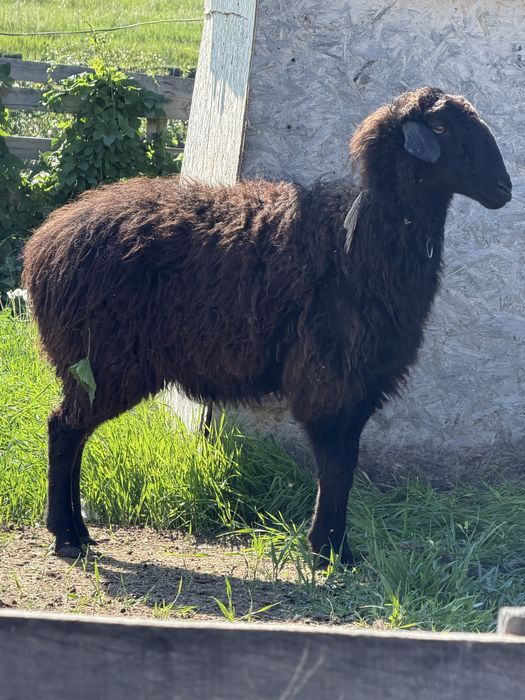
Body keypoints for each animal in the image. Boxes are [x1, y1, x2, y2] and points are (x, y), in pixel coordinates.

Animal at [22, 86, 512, 563]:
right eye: (442, 127)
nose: (504, 188)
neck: (359, 240)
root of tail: (45, 244)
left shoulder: (360, 382)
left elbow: (347, 459)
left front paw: (330, 545)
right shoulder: (330, 377)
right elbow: (337, 463)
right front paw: (332, 549)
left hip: (94, 365)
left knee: (74, 431)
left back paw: (80, 532)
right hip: (105, 360)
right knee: (64, 429)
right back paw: (65, 535)